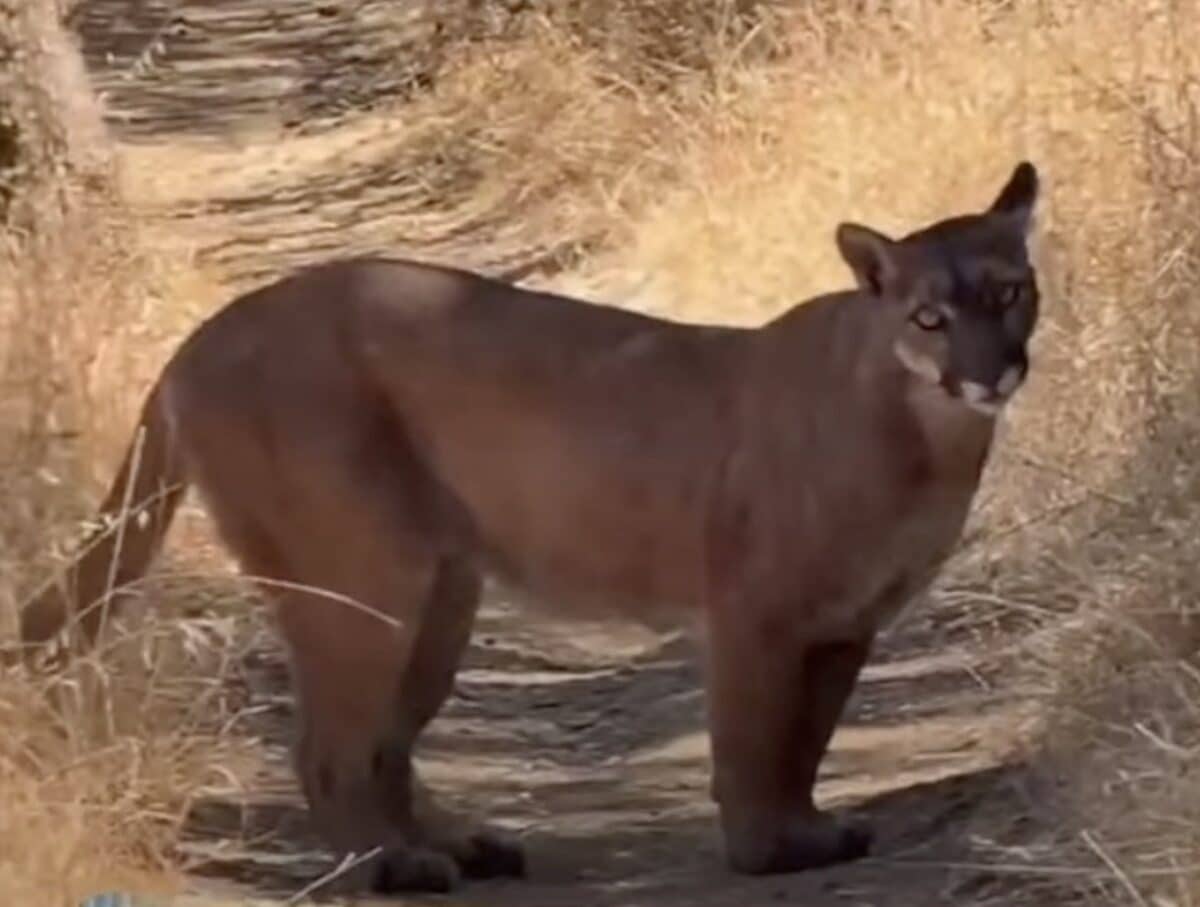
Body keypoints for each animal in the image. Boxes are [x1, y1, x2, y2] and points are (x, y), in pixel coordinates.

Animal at [18, 161, 1042, 893]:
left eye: (1008, 293)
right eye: (929, 316)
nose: (992, 370)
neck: (925, 433)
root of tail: (195, 339)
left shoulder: (846, 622)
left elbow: (806, 740)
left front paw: (808, 829)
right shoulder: (757, 612)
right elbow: (755, 739)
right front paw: (764, 848)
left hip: (440, 594)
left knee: (385, 744)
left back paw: (461, 847)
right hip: (362, 576)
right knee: (326, 749)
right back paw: (393, 868)